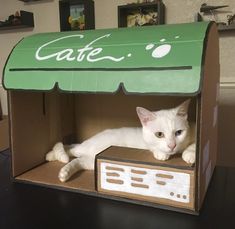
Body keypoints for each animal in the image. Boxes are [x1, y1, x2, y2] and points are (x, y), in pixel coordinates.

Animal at [45, 99, 195, 182]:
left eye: (179, 133)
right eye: (159, 134)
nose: (172, 145)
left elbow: (193, 144)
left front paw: (190, 154)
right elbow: (152, 147)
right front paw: (162, 154)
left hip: (91, 162)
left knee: (75, 156)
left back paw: (62, 169)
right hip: (87, 151)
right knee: (69, 147)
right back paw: (52, 157)